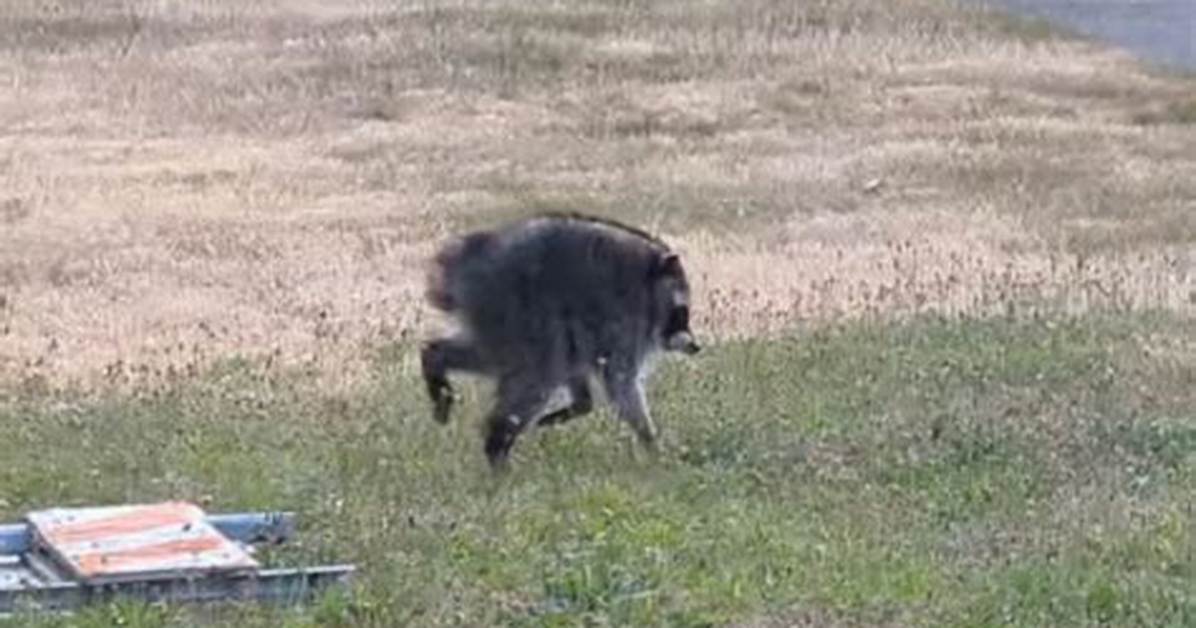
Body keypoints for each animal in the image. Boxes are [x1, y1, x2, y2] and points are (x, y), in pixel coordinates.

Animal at [421, 212, 700, 470]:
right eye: (682, 313)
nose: (695, 346)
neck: (649, 280)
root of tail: (466, 259)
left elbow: (580, 368)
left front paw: (580, 404)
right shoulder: (625, 320)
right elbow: (620, 382)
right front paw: (650, 441)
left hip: (499, 313)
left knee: (521, 359)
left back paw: (435, 357)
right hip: (512, 305)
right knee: (539, 369)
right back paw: (497, 441)